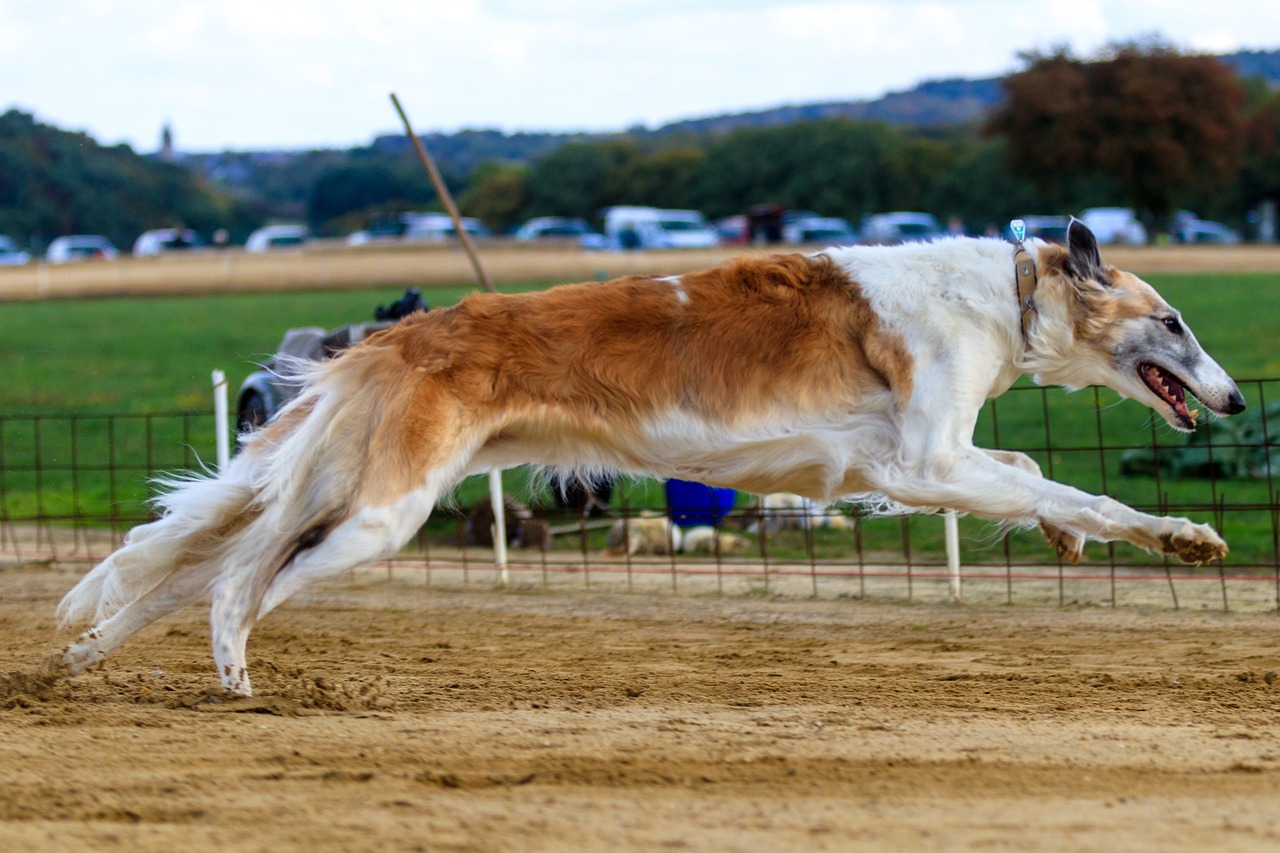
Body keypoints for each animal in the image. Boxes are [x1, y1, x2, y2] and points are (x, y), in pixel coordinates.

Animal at [57, 222, 1239, 696]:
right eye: (1173, 320)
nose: (1232, 399)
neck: (1002, 290)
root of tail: (397, 334)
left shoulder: (898, 465)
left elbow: (1040, 478)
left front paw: (1062, 536)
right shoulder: (919, 462)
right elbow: (1080, 488)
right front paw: (1181, 535)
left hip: (348, 491)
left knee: (198, 569)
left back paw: (94, 660)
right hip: (379, 511)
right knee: (237, 585)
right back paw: (234, 679)